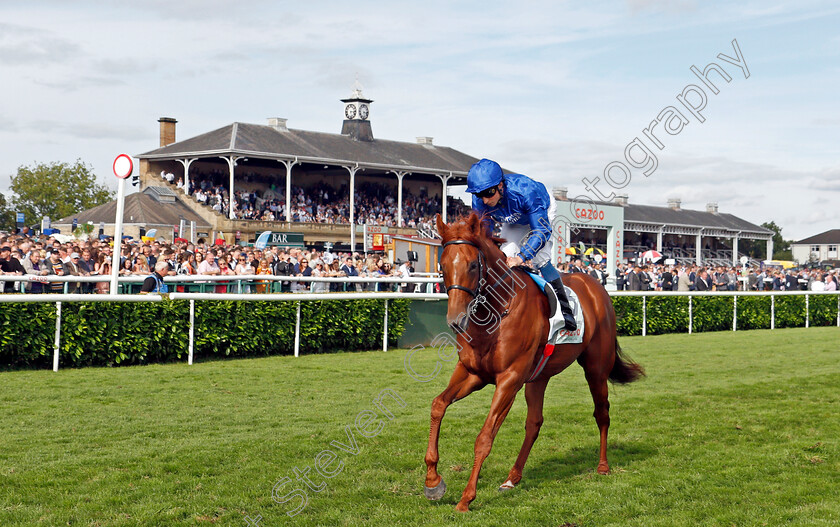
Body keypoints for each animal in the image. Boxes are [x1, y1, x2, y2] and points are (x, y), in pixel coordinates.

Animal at [426, 213, 644, 512]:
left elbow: (485, 437)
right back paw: (512, 478)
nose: (456, 320)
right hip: (539, 377)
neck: (496, 312)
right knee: (534, 423)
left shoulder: (509, 378)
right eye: (442, 265)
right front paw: (433, 481)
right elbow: (438, 405)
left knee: (602, 413)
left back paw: (602, 466)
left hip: (596, 368)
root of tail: (595, 285)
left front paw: (466, 498)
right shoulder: (473, 373)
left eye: (472, 264)